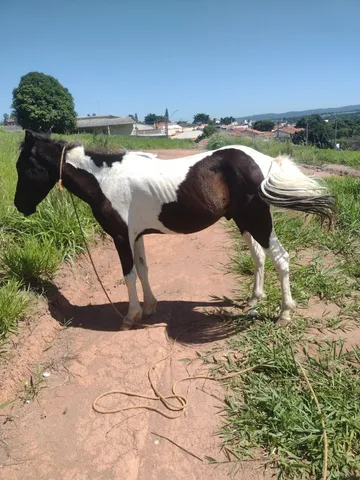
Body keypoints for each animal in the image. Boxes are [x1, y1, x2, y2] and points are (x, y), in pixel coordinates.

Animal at [13, 129, 334, 328]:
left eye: (23, 168)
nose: (19, 206)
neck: (104, 179)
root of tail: (265, 162)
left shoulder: (120, 236)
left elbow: (129, 275)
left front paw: (131, 315)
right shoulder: (136, 236)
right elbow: (143, 269)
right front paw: (150, 306)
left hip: (257, 220)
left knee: (281, 258)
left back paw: (284, 315)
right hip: (244, 221)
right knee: (259, 256)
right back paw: (253, 300)